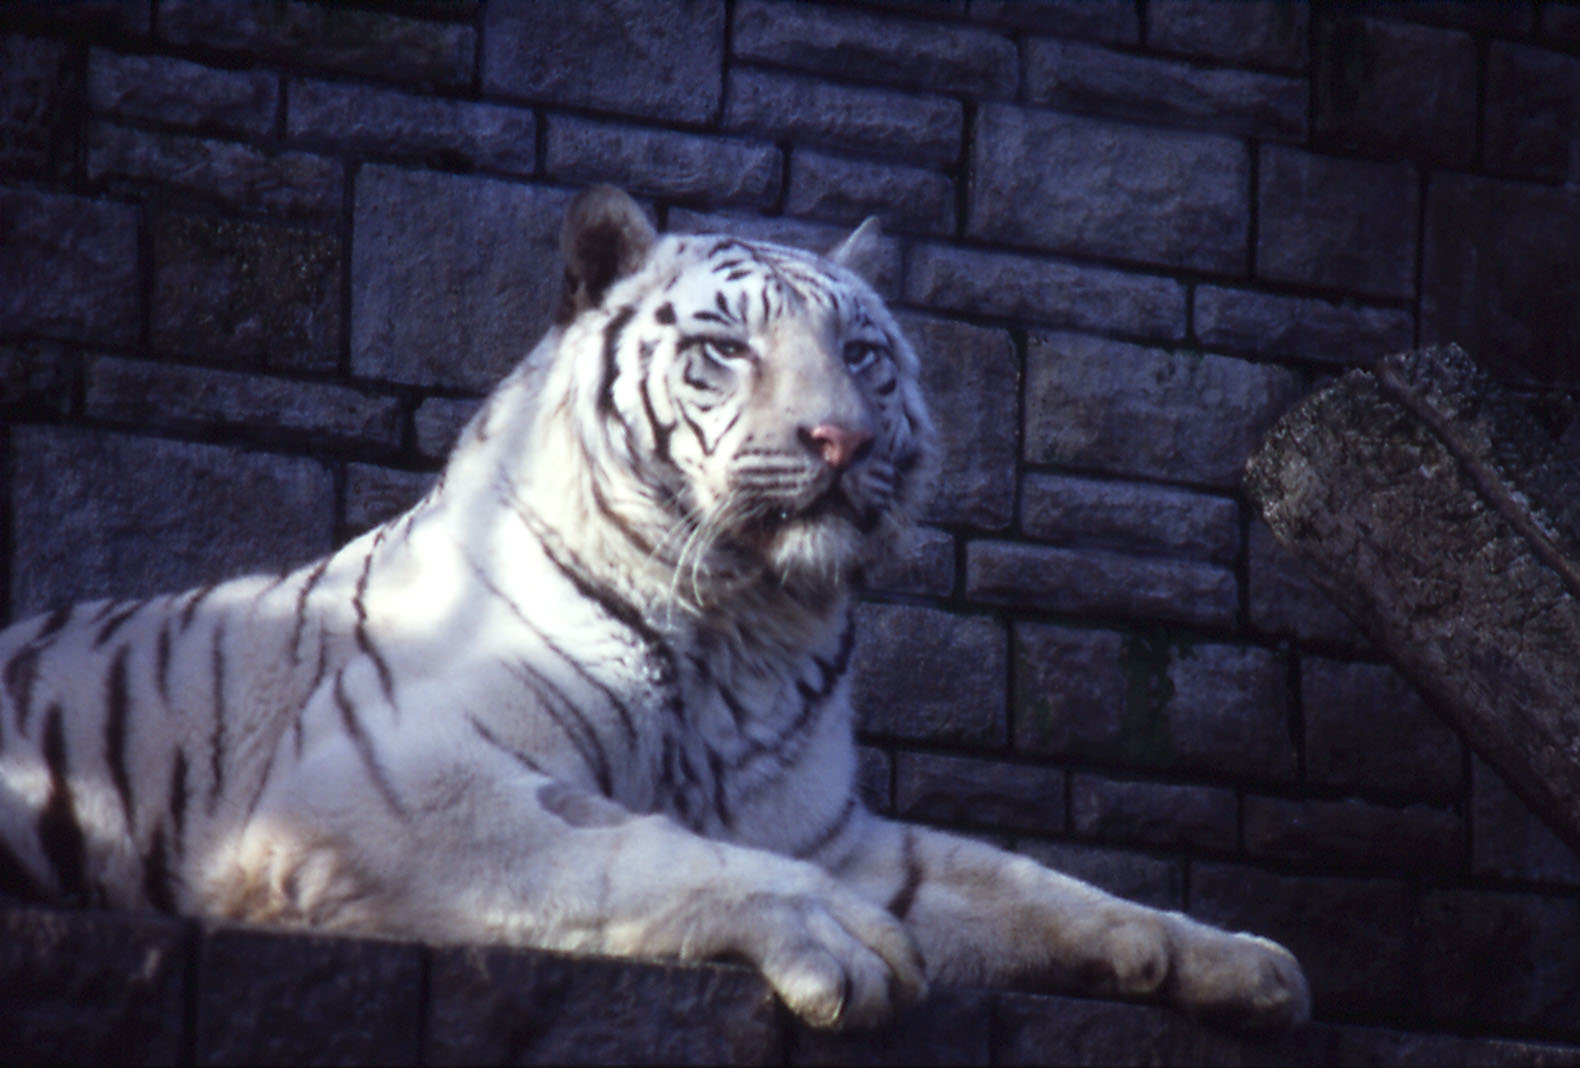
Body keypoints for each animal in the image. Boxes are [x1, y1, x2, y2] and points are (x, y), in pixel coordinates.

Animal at [0, 186, 1308, 1031]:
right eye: (725, 349)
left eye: (865, 354)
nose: (843, 439)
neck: (745, 626)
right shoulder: (381, 791)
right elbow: (633, 854)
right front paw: (840, 941)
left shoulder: (824, 829)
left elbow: (1025, 881)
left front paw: (1226, 958)